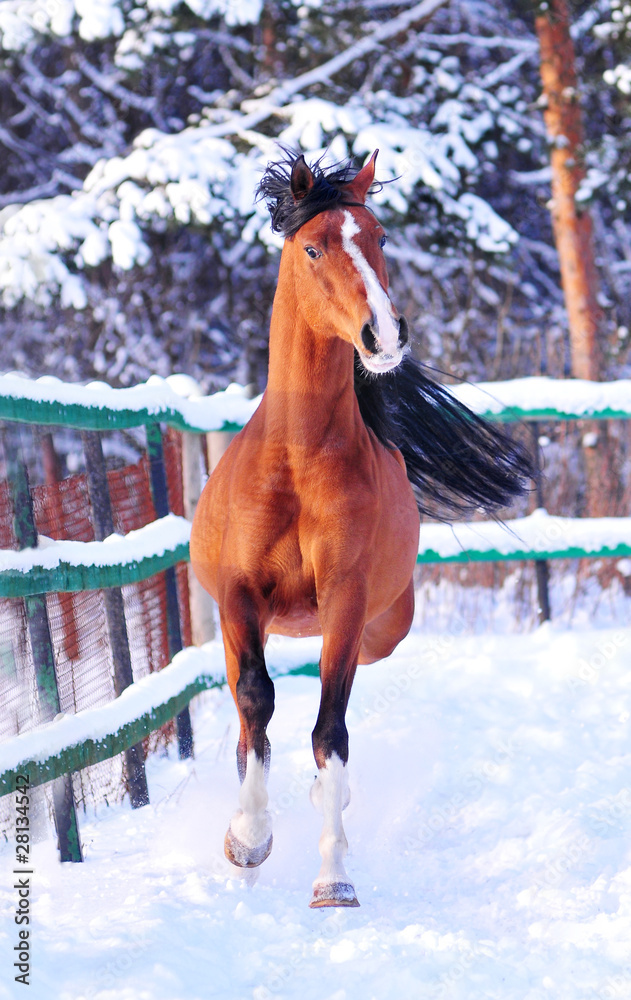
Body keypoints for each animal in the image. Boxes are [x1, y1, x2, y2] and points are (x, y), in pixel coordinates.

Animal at [189, 152, 532, 912]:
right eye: (313, 248)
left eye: (377, 236)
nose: (384, 335)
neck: (297, 459)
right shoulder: (239, 597)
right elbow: (256, 702)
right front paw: (247, 840)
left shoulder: (343, 600)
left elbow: (329, 731)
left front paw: (333, 879)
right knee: (246, 715)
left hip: (380, 629)